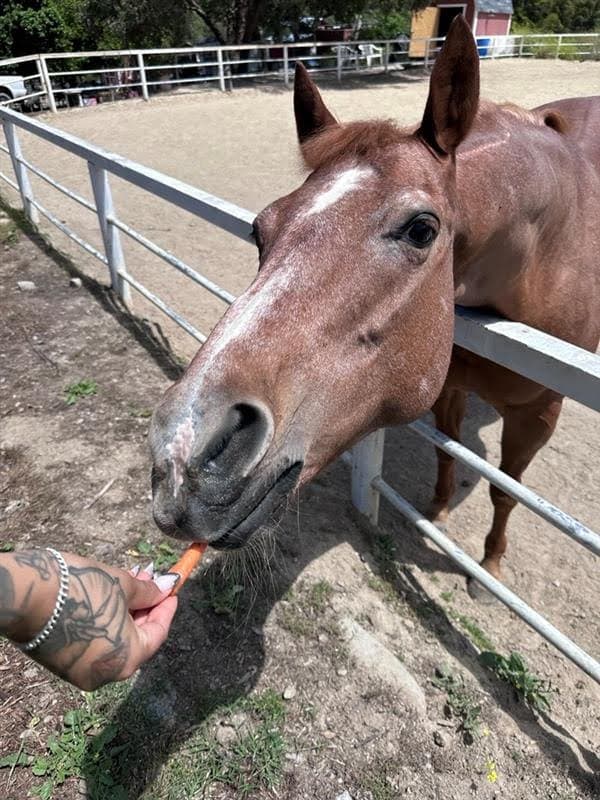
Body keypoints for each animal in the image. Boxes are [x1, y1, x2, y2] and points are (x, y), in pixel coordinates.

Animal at [149, 16, 600, 598]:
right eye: (260, 227)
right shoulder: (445, 383)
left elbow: (507, 489)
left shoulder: (539, 411)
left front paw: (488, 567)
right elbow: (446, 449)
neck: (542, 252)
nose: (182, 451)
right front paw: (437, 511)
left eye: (422, 230)